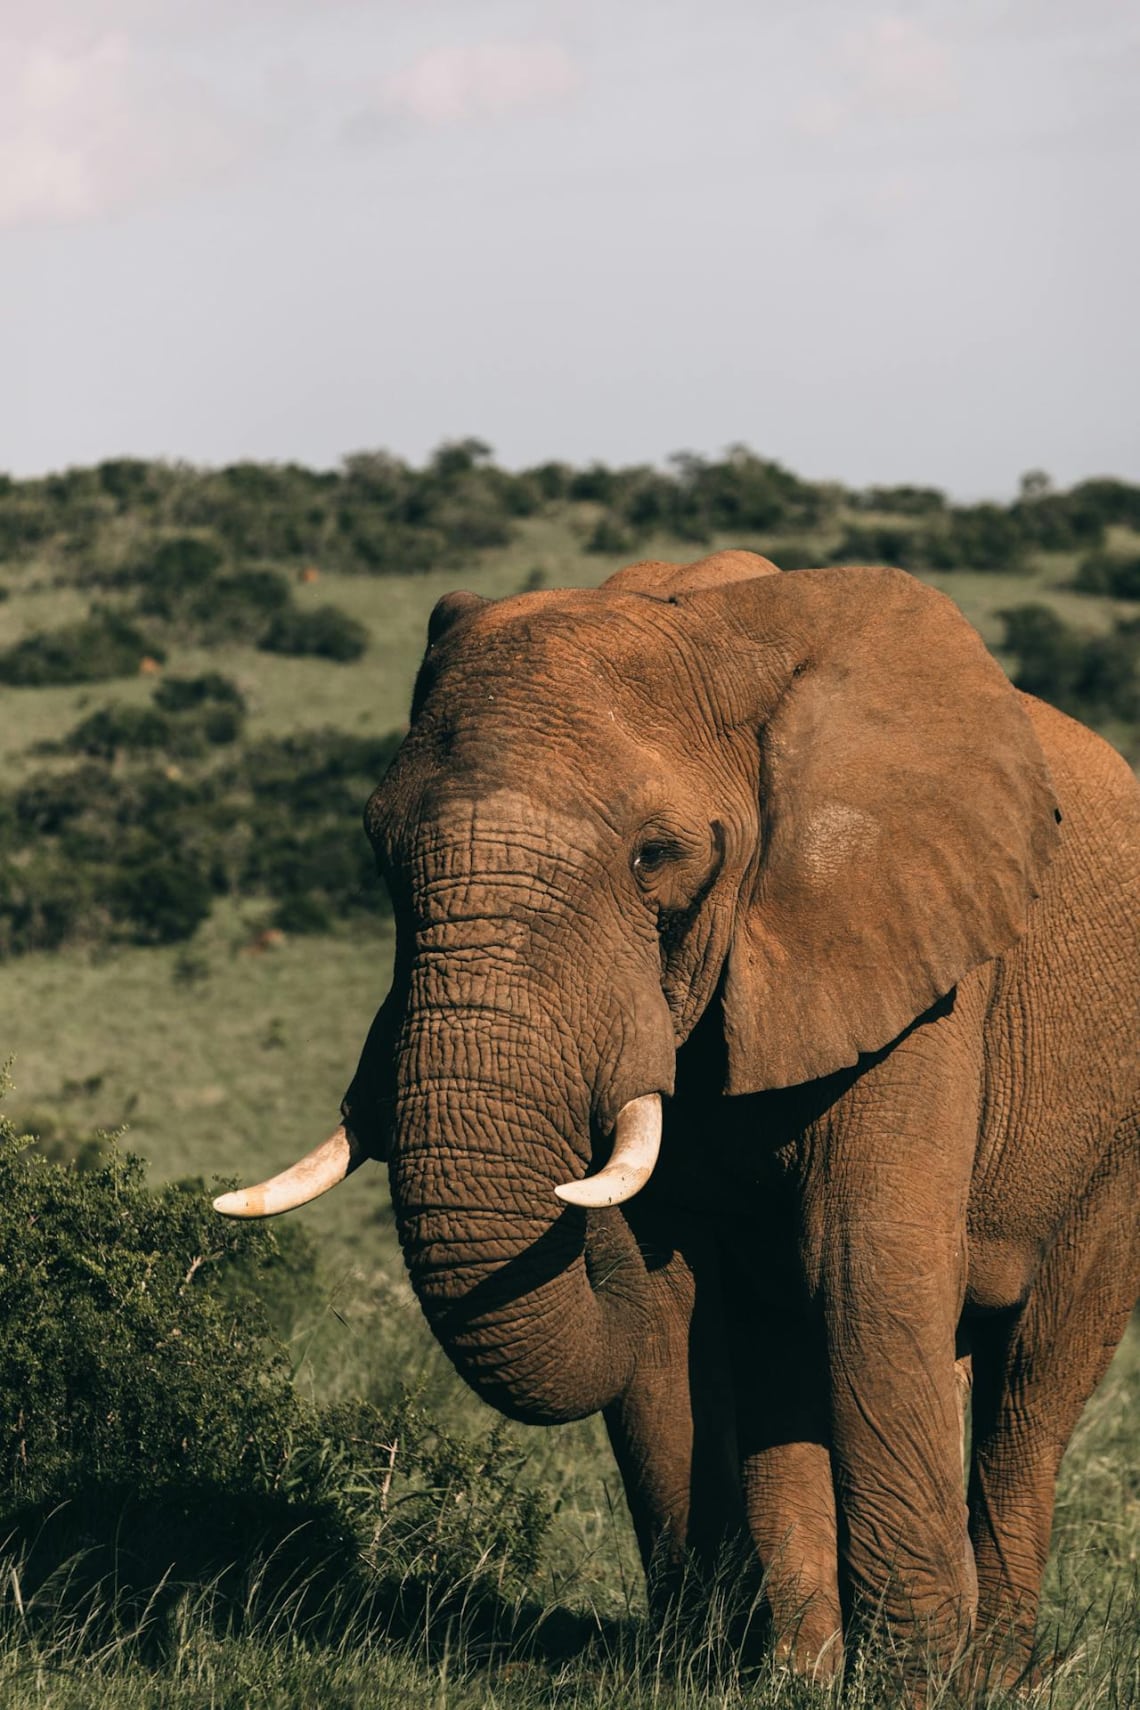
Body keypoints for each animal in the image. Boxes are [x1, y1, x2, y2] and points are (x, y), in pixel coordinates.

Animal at [216, 547, 1140, 1682]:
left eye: (654, 857)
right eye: (380, 852)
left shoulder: (920, 967)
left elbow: (863, 1267)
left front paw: (911, 1689)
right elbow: (666, 1303)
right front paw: (714, 1674)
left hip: (1113, 1136)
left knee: (1030, 1389)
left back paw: (988, 1669)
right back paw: (806, 1667)